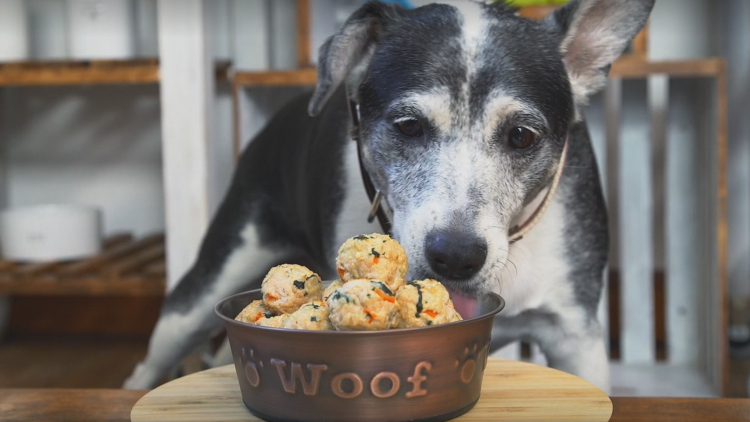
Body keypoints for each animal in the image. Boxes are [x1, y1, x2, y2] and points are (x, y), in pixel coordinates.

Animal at [123, 0, 652, 392]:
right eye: (409, 126)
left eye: (522, 136)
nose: (456, 255)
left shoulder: (575, 336)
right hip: (208, 282)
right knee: (153, 357)